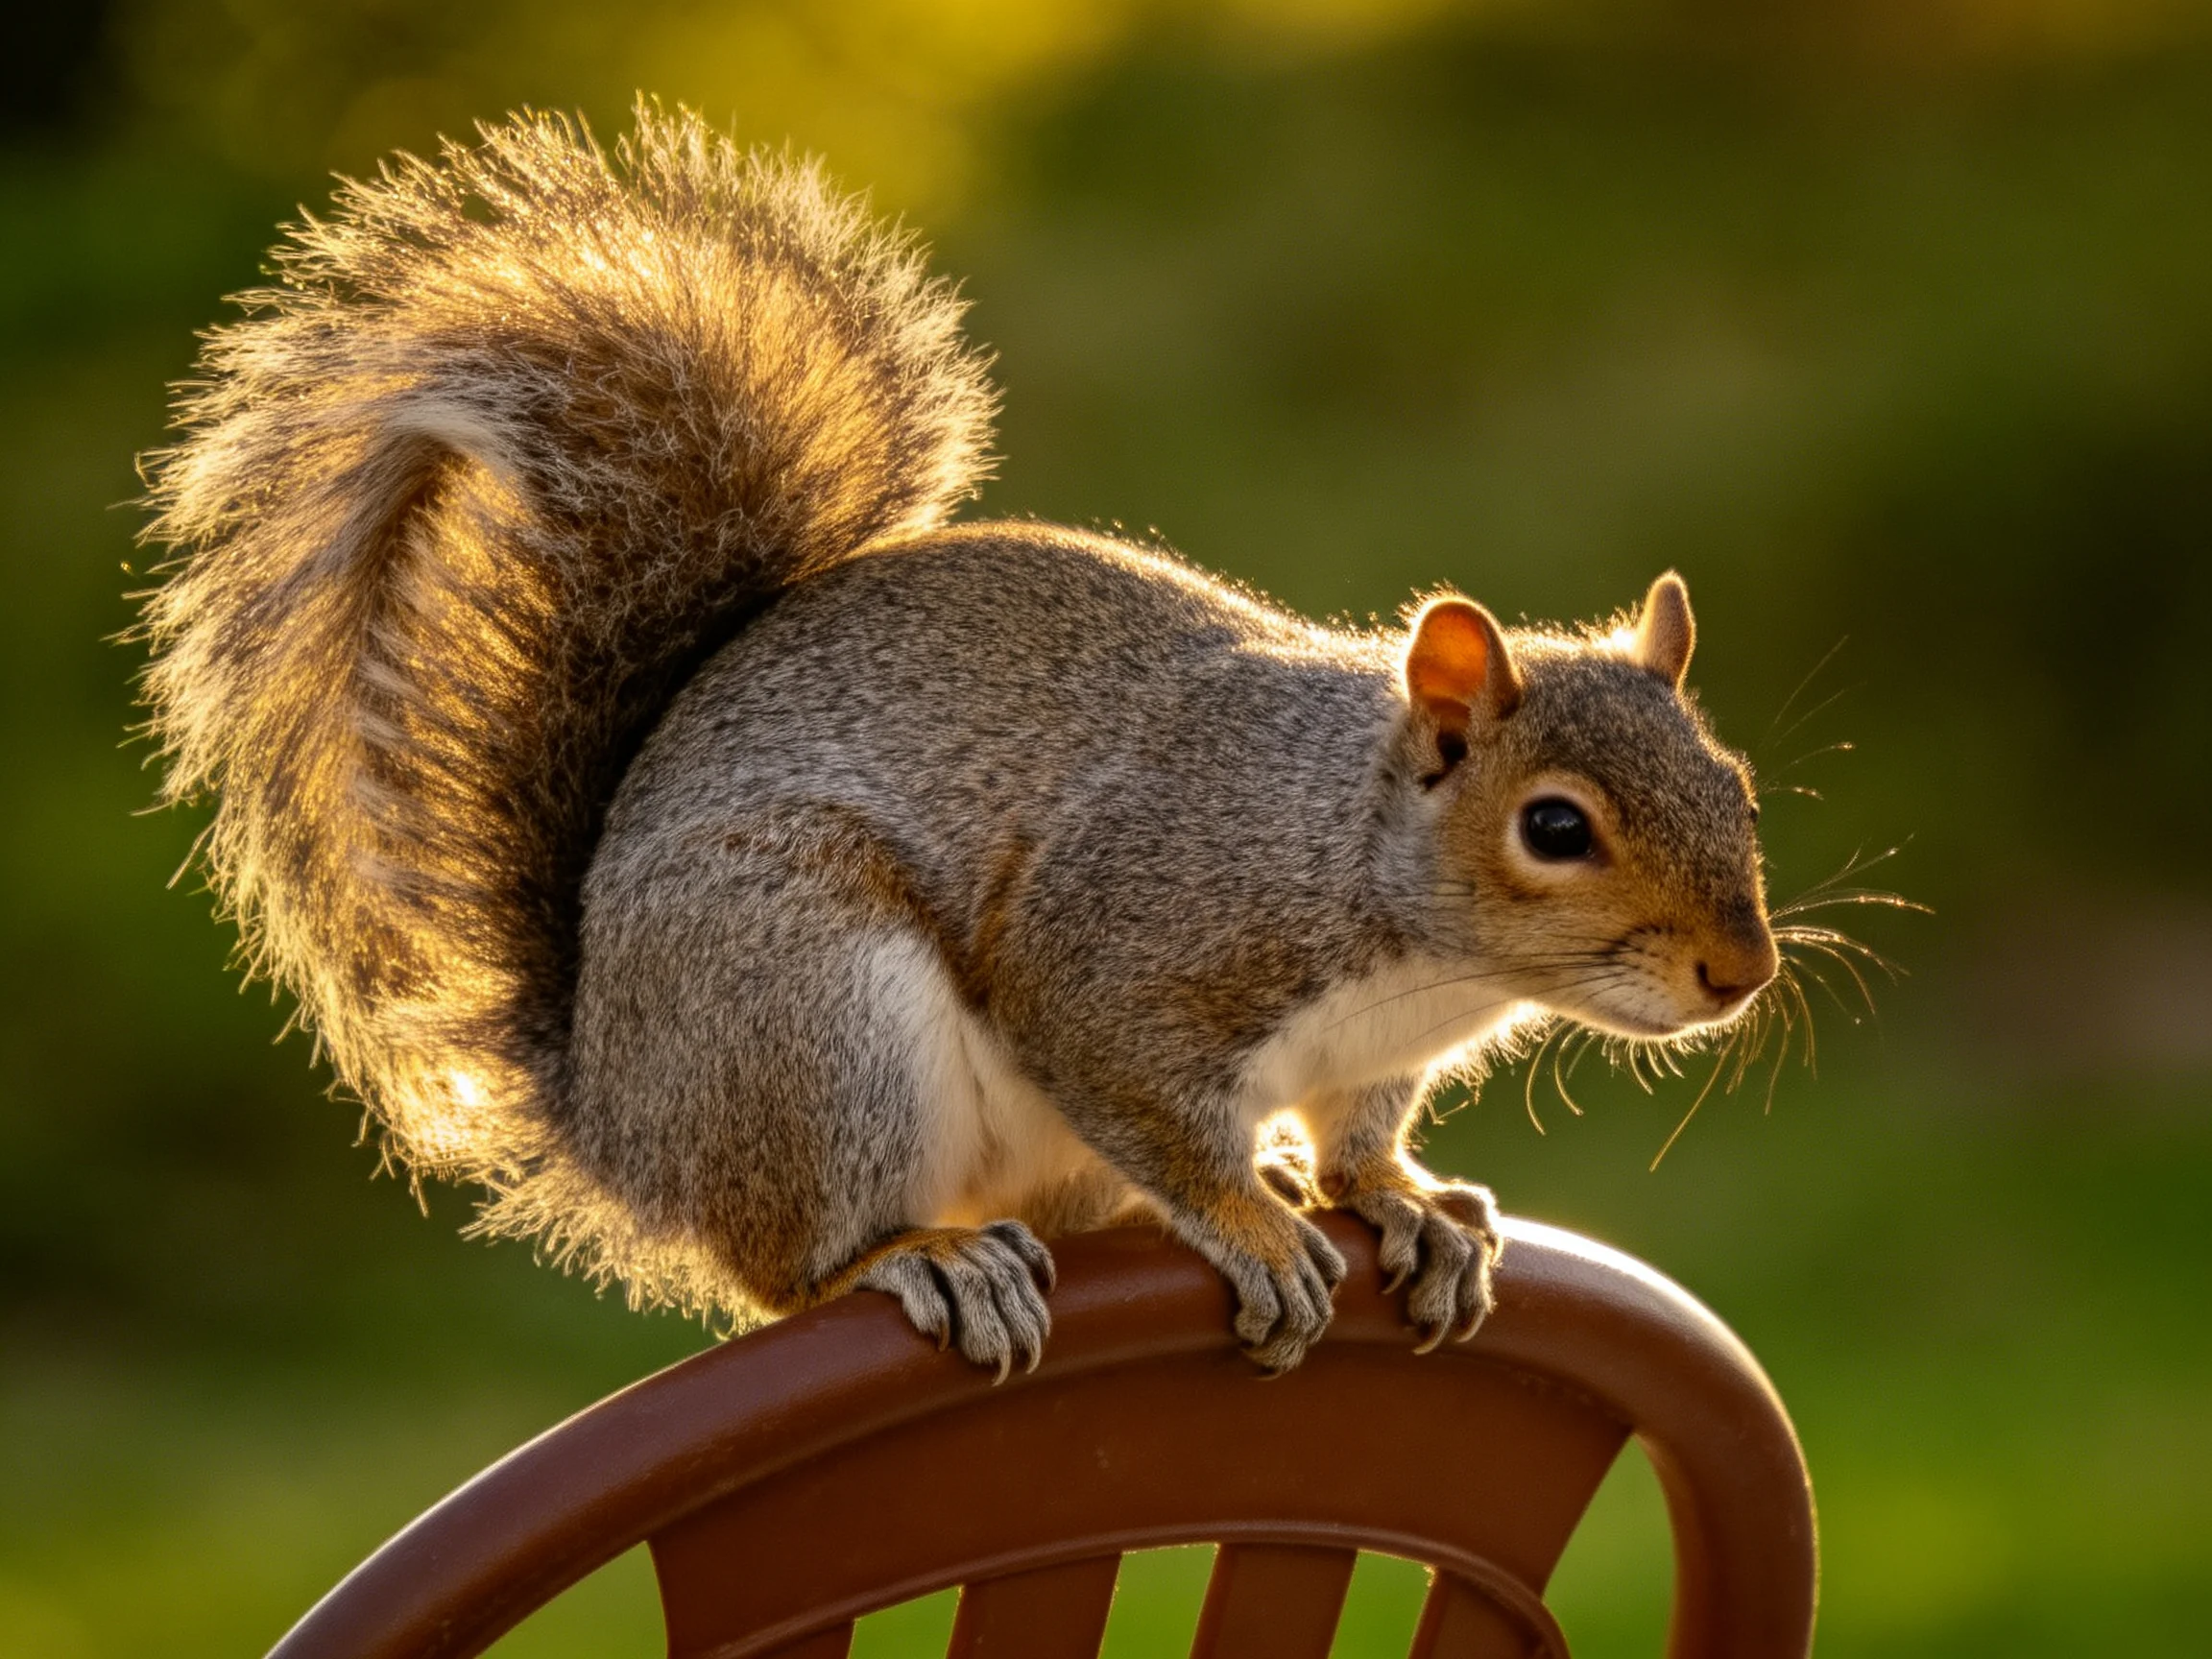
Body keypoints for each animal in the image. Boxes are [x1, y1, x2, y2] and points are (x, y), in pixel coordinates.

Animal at [138, 104, 1778, 1377]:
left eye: (1740, 791)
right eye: (1555, 827)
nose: (1742, 973)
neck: (1371, 876)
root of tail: (620, 1116)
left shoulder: (1370, 1061)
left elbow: (1364, 1139)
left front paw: (1410, 1205)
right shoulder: (1126, 941)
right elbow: (1137, 1086)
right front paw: (1253, 1221)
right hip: (807, 1012)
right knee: (787, 1266)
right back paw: (917, 1259)